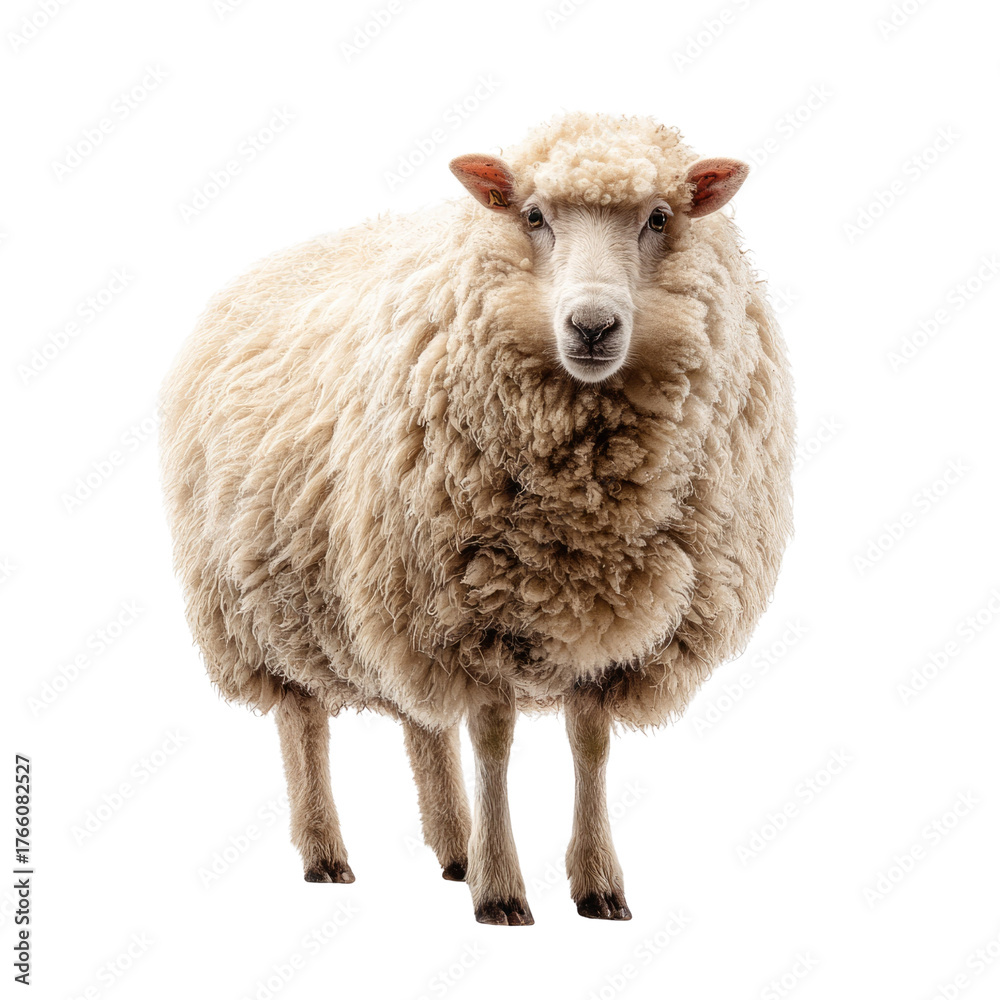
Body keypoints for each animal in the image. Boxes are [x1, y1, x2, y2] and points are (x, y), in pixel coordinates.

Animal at [159, 111, 794, 925]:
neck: (588, 497)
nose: (592, 327)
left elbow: (590, 744)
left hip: (393, 594)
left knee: (421, 721)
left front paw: (597, 883)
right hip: (264, 600)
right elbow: (493, 741)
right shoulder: (476, 612)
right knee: (302, 721)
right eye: (533, 216)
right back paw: (327, 852)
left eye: (659, 218)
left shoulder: (606, 630)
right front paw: (501, 890)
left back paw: (452, 845)